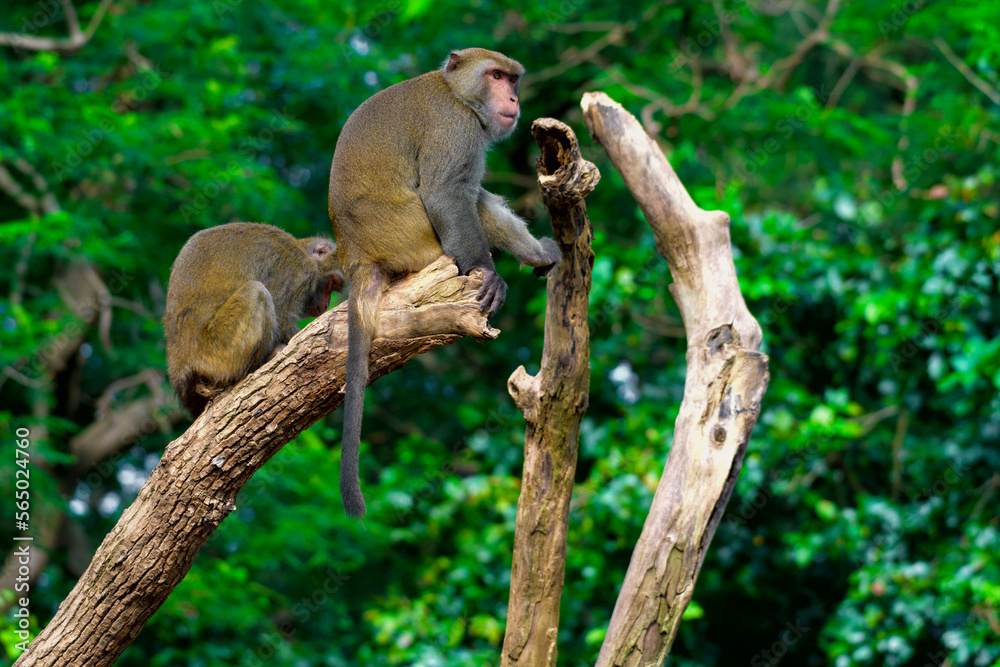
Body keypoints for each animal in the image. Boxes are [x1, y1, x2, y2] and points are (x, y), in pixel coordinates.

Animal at [164, 222, 344, 417]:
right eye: (333, 283)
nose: (326, 304)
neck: (302, 248)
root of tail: (180, 361)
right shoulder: (299, 271)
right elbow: (281, 312)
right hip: (217, 351)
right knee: (256, 291)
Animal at [328, 47, 563, 518]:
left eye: (512, 79)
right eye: (496, 76)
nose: (513, 97)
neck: (456, 93)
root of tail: (356, 255)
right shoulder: (456, 128)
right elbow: (448, 194)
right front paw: (488, 273)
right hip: (414, 238)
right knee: (469, 199)